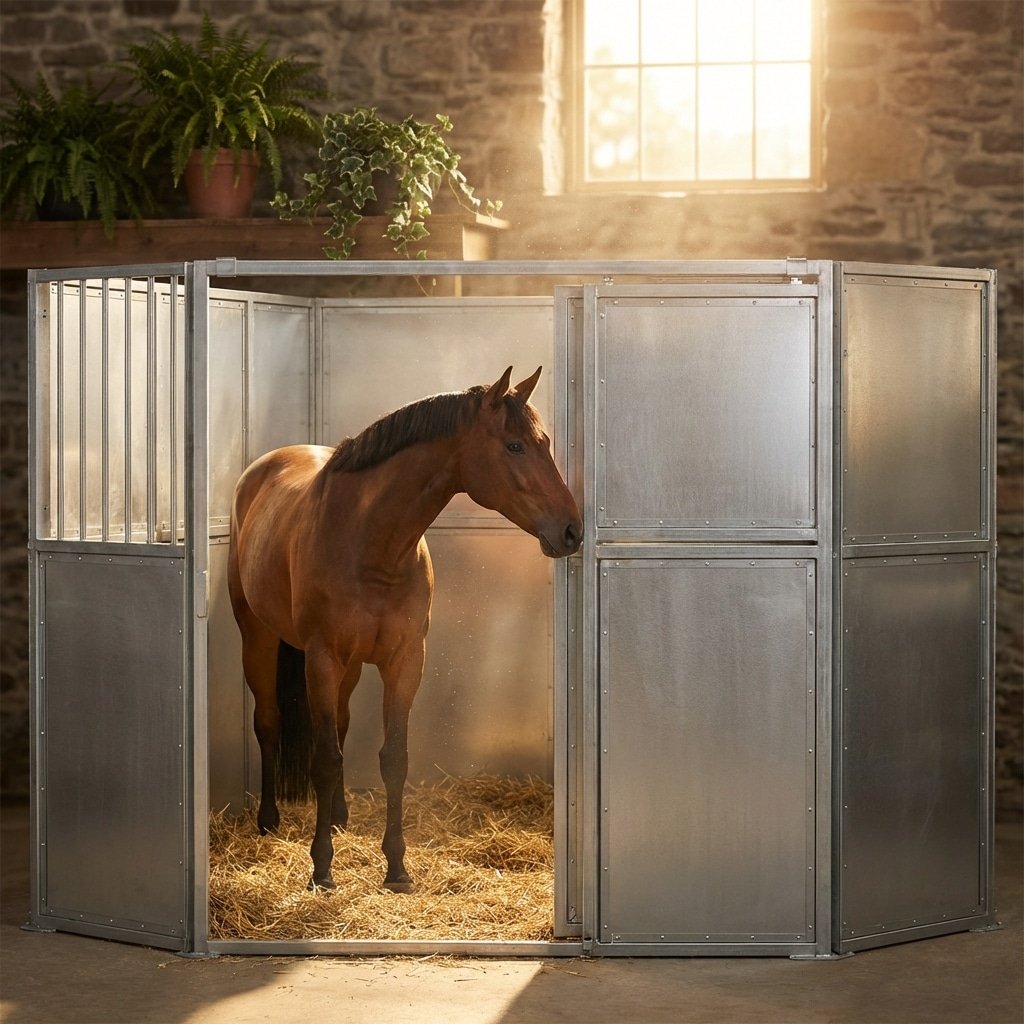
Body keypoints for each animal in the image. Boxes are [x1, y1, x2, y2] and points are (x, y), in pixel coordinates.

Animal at [228, 366, 582, 891]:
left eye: (546, 442)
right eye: (515, 445)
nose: (572, 530)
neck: (370, 541)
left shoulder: (405, 660)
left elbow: (393, 758)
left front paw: (396, 866)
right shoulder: (322, 659)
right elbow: (325, 758)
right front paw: (321, 868)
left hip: (350, 667)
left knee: (341, 724)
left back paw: (338, 817)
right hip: (259, 638)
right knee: (268, 722)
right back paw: (269, 820)